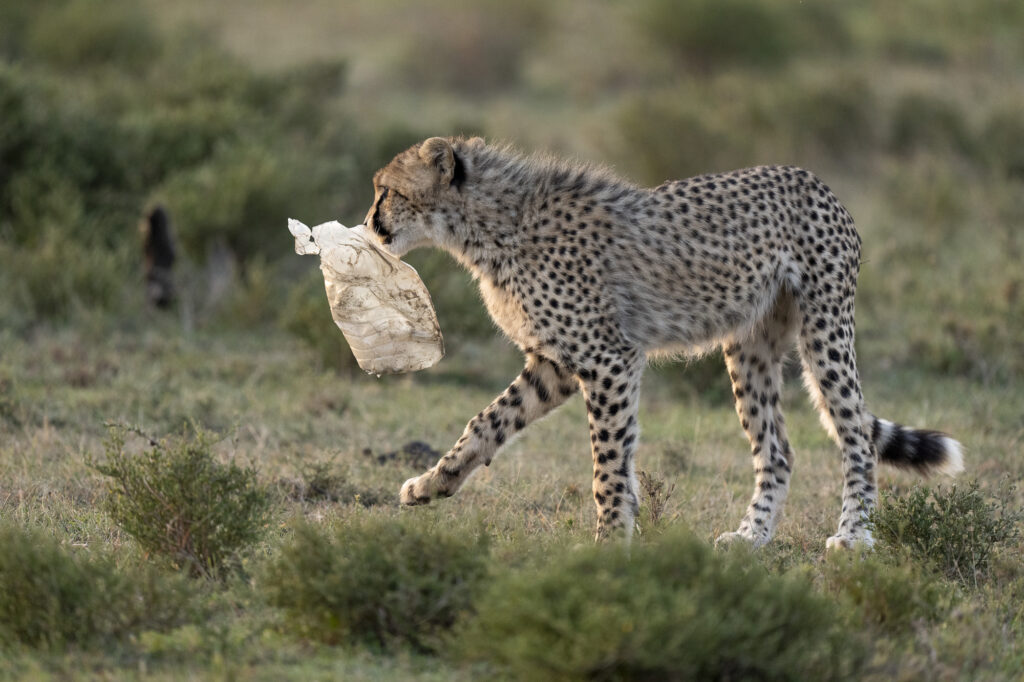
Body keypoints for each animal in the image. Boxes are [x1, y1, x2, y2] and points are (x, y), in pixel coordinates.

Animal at [364, 136, 963, 549]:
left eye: (387, 191)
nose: (370, 225)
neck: (490, 226)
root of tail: (810, 177)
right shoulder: (554, 364)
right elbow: (486, 422)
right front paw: (432, 484)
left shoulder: (609, 358)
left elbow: (608, 462)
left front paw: (609, 540)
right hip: (749, 346)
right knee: (776, 449)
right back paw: (751, 538)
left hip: (826, 329)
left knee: (855, 435)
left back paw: (854, 535)